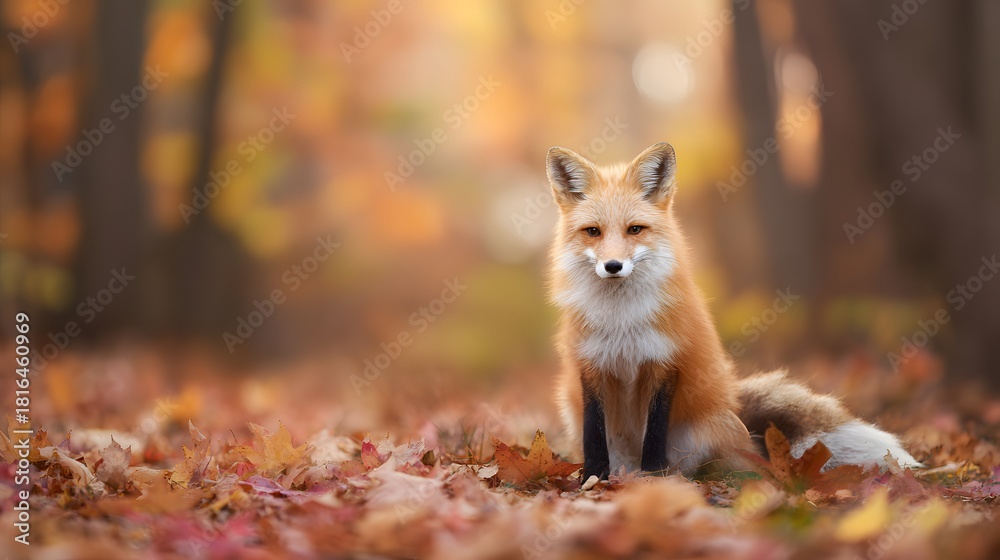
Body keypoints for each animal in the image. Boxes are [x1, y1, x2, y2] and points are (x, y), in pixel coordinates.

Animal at [546, 142, 922, 481]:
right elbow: (593, 433)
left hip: (710, 430)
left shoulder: (664, 362)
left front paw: (654, 477)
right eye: (593, 232)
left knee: (736, 468)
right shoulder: (590, 364)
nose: (613, 266)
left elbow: (654, 432)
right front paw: (593, 478)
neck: (621, 320)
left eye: (634, 229)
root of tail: (735, 409)